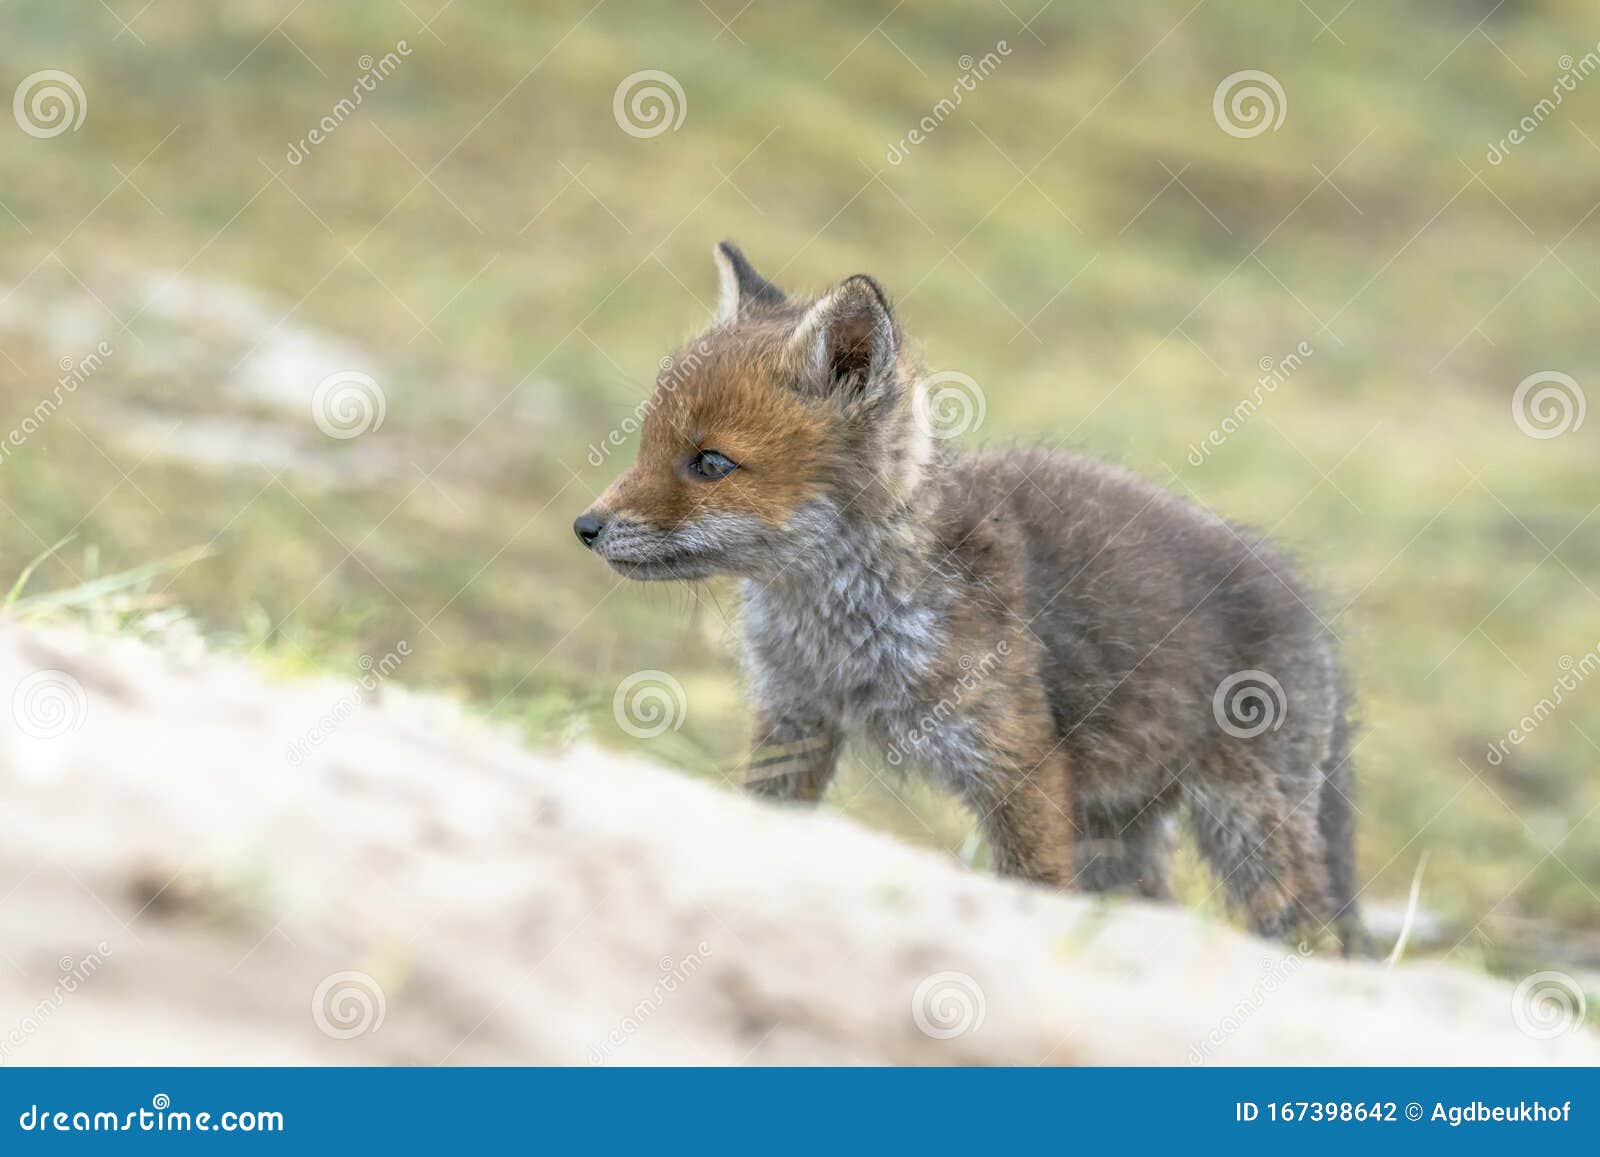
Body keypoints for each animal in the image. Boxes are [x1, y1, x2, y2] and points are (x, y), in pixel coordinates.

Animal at [569, 241, 1356, 947]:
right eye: (644, 445)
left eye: (709, 463)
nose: (585, 526)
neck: (842, 634)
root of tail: (1308, 605)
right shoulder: (795, 717)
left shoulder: (1017, 763)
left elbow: (1034, 887)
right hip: (1117, 828)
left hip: (1244, 827)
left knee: (1315, 933)